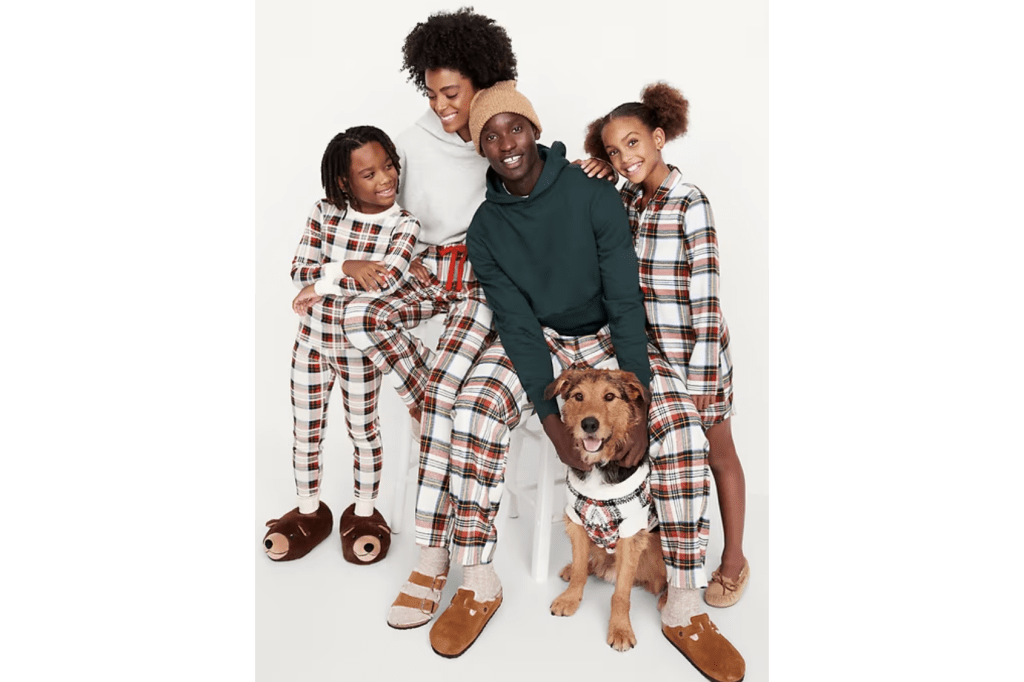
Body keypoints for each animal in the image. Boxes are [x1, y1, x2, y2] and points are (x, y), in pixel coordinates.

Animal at [544, 366, 663, 647]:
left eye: (609, 396)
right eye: (578, 396)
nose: (589, 424)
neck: (599, 467)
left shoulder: (631, 533)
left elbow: (621, 593)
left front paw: (620, 629)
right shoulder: (575, 520)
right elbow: (579, 569)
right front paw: (570, 598)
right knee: (589, 562)